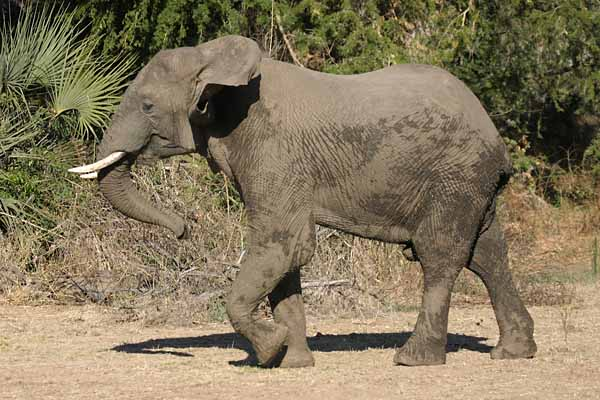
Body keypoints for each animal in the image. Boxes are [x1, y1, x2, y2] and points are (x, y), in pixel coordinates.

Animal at [69, 35, 536, 368]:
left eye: (148, 106)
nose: (184, 229)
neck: (211, 58)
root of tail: (492, 131)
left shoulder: (272, 148)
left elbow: (282, 243)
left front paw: (267, 351)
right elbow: (287, 255)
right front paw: (291, 362)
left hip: (455, 175)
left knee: (440, 254)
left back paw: (413, 359)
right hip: (471, 182)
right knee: (488, 254)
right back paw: (513, 352)